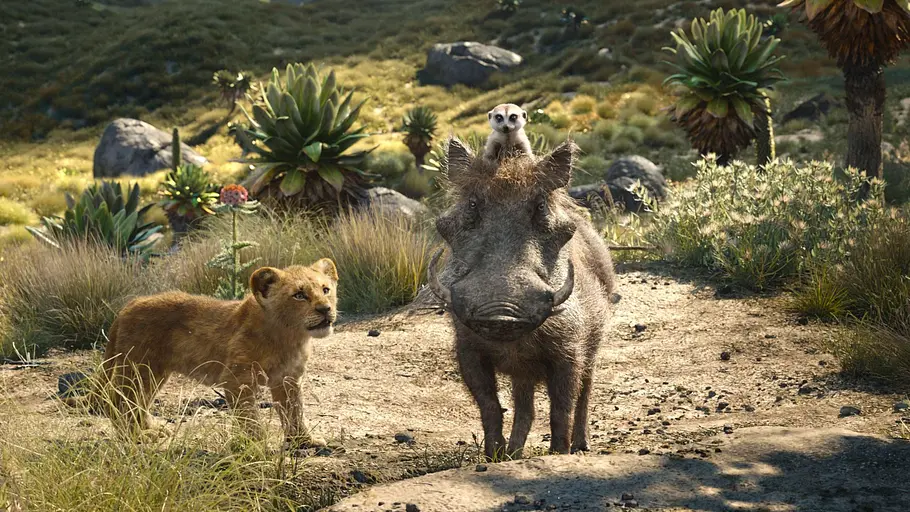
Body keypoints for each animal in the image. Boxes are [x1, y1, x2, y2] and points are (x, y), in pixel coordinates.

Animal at [72, 259, 338, 447]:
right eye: (299, 295)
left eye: (326, 290)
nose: (325, 309)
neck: (290, 337)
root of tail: (127, 307)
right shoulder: (237, 380)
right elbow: (250, 418)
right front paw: (257, 446)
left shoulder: (288, 379)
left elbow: (294, 411)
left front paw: (303, 441)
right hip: (138, 367)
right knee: (118, 401)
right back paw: (138, 437)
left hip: (153, 372)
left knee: (139, 402)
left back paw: (151, 429)